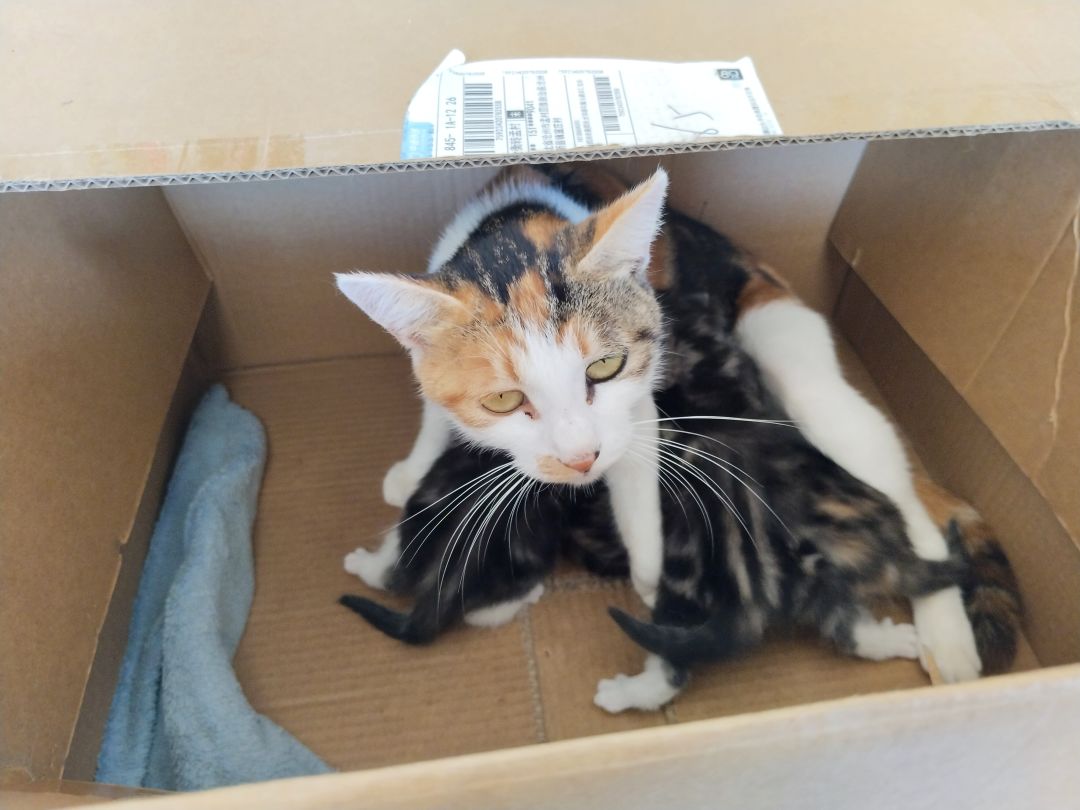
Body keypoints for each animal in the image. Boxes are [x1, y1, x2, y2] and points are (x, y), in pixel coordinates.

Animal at [336, 162, 1013, 684]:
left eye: (604, 366)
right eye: (503, 400)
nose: (580, 460)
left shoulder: (637, 399)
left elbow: (639, 479)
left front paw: (653, 575)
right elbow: (434, 410)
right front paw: (415, 465)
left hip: (799, 361)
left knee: (908, 503)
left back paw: (948, 639)